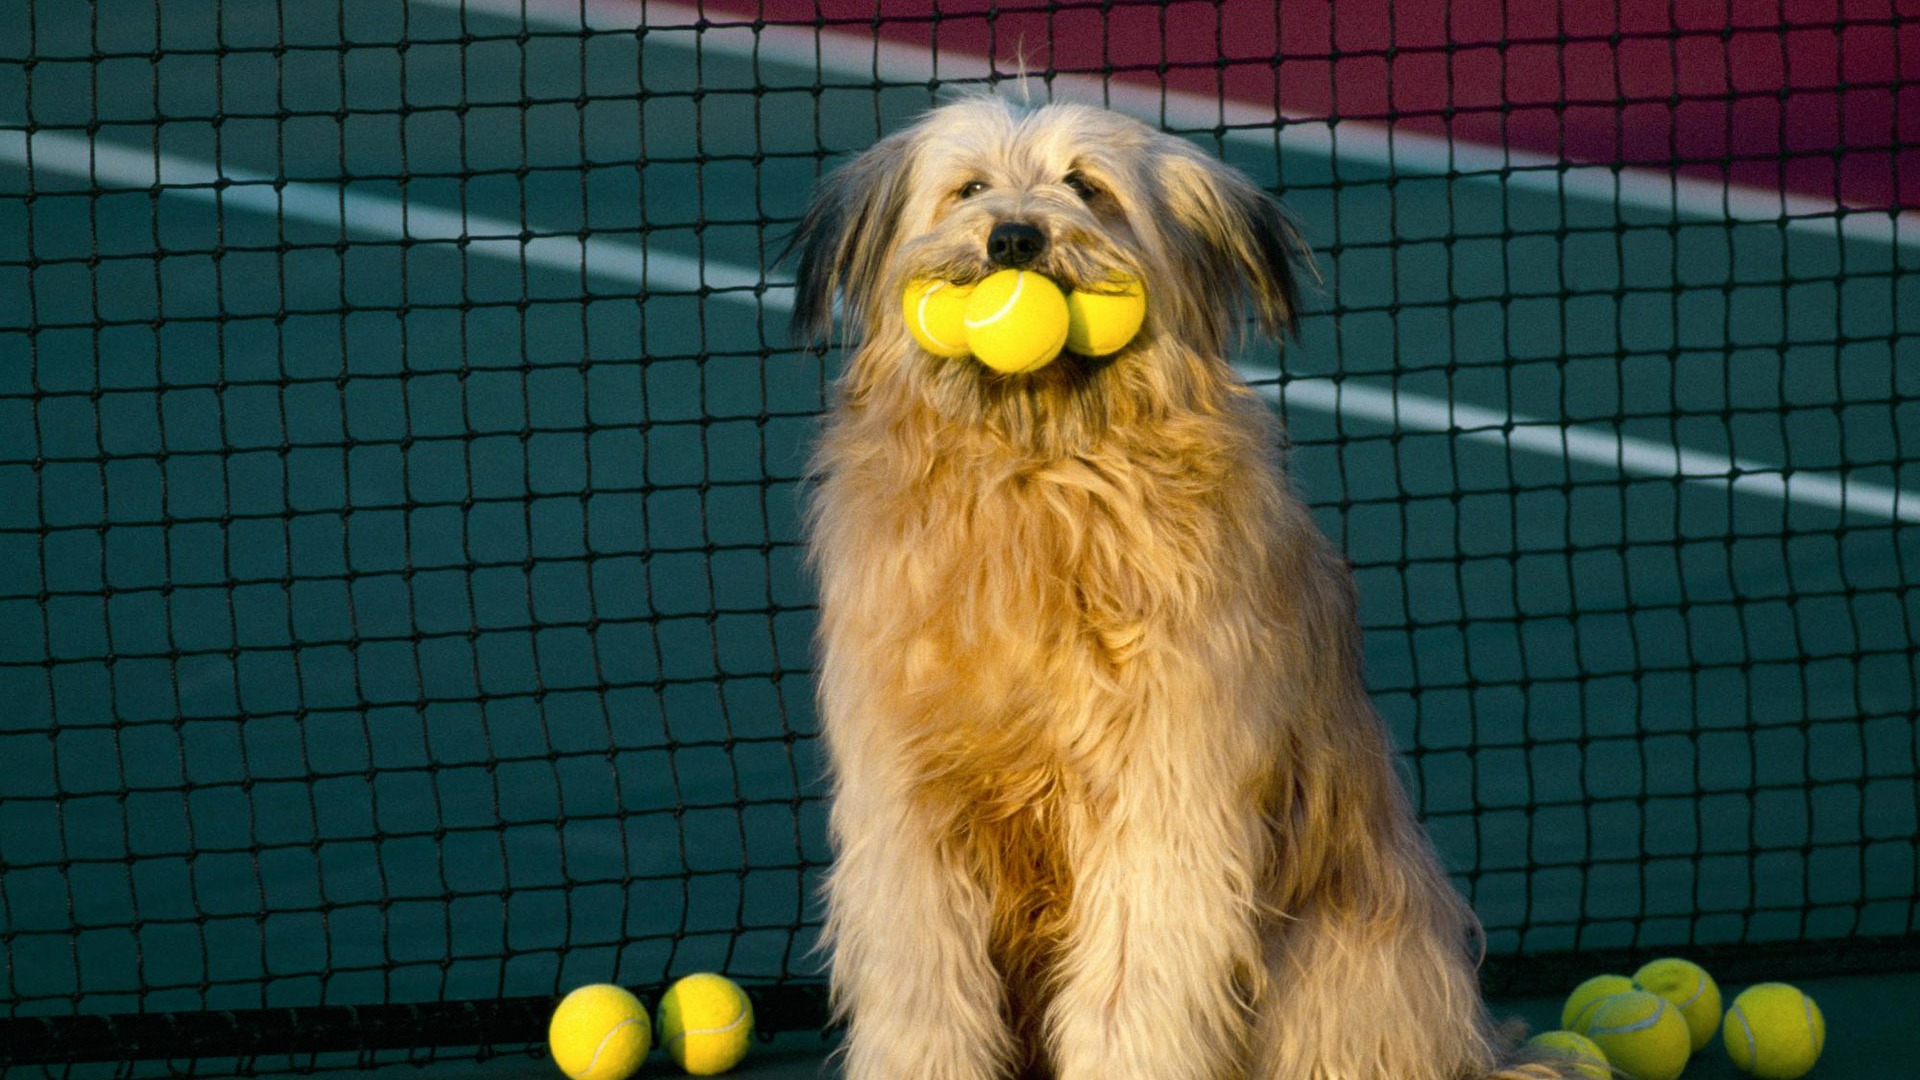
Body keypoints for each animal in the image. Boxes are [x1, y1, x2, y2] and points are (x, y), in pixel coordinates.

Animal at [787, 94, 1566, 1076]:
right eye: (967, 188)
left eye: (1087, 185)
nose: (1014, 238)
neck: (1038, 473)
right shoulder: (908, 801)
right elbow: (923, 983)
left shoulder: (1165, 790)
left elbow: (1135, 976)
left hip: (1343, 957)